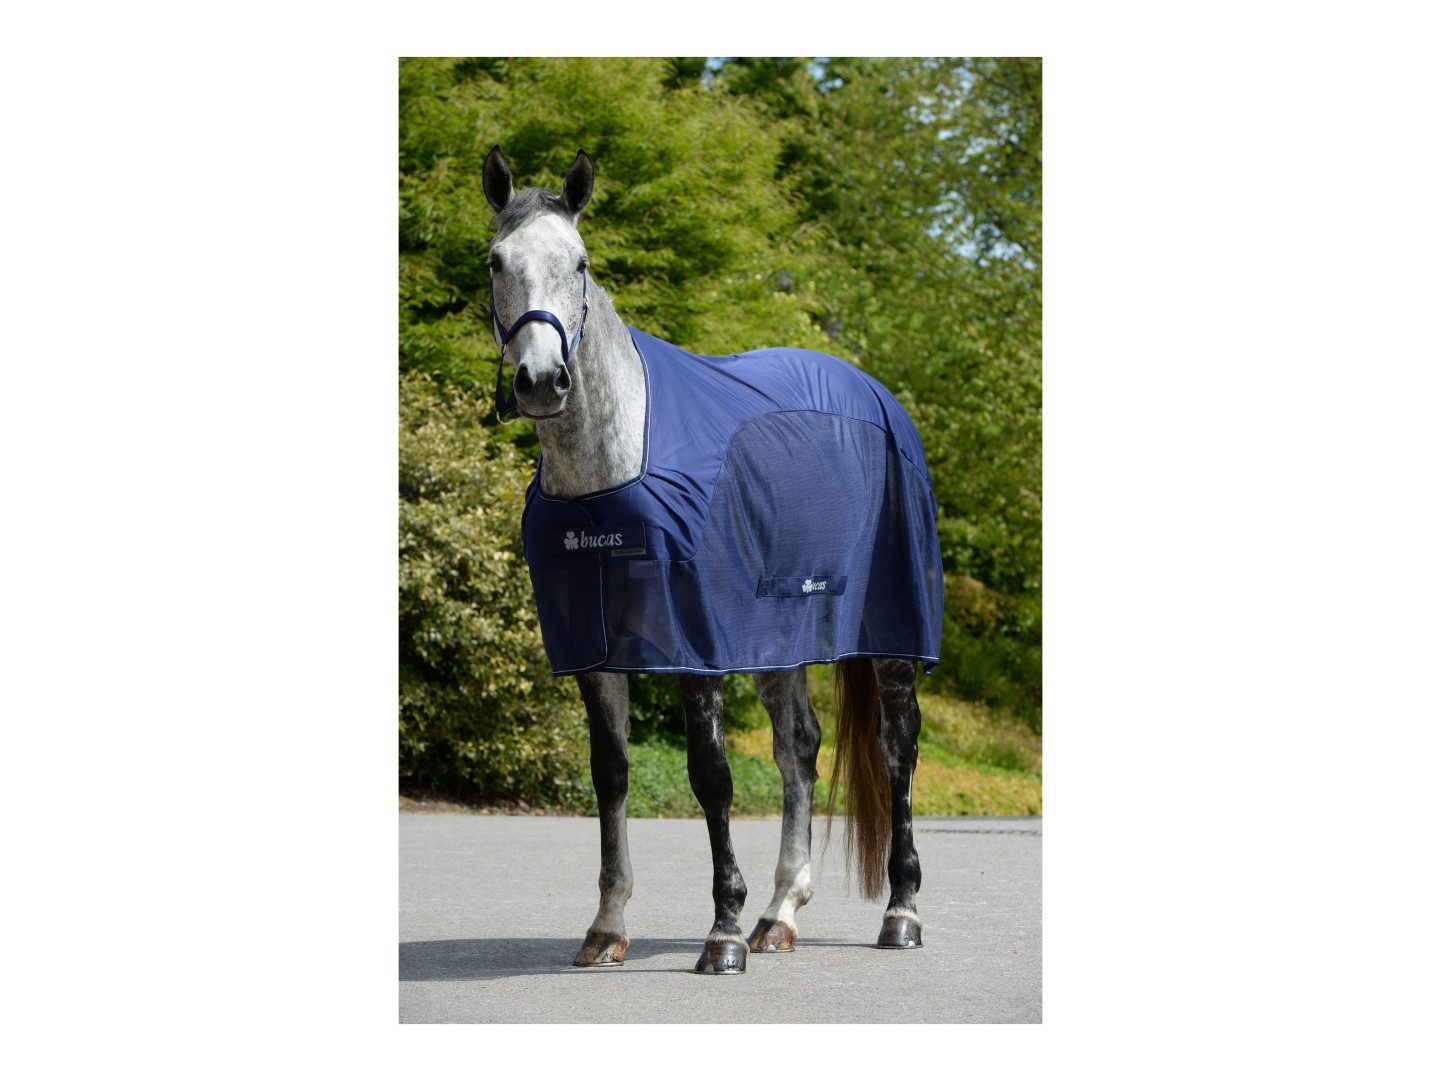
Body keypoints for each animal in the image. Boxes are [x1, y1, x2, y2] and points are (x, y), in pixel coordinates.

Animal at [481, 146, 943, 974]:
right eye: (497, 262)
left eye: (580, 262)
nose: (540, 382)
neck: (608, 477)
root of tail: (875, 391)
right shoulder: (597, 651)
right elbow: (610, 775)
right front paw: (607, 926)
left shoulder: (693, 646)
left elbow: (712, 777)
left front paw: (722, 932)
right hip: (775, 640)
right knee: (800, 749)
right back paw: (780, 912)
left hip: (891, 640)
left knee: (898, 752)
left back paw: (900, 913)